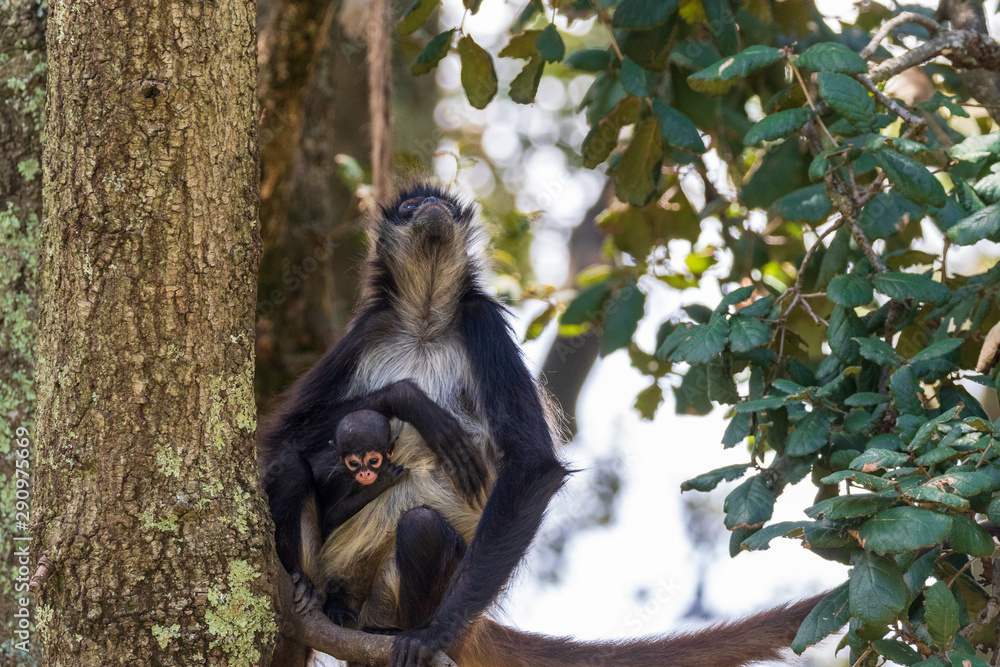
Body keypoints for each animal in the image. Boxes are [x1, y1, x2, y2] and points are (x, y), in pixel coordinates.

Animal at [260, 182, 825, 667]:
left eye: (445, 204)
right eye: (411, 205)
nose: (433, 208)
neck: (423, 322)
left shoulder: (481, 323)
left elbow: (532, 465)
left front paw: (433, 634)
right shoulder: (369, 329)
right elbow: (276, 439)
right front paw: (410, 400)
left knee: (420, 528)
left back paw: (403, 633)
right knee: (287, 467)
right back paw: (308, 591)